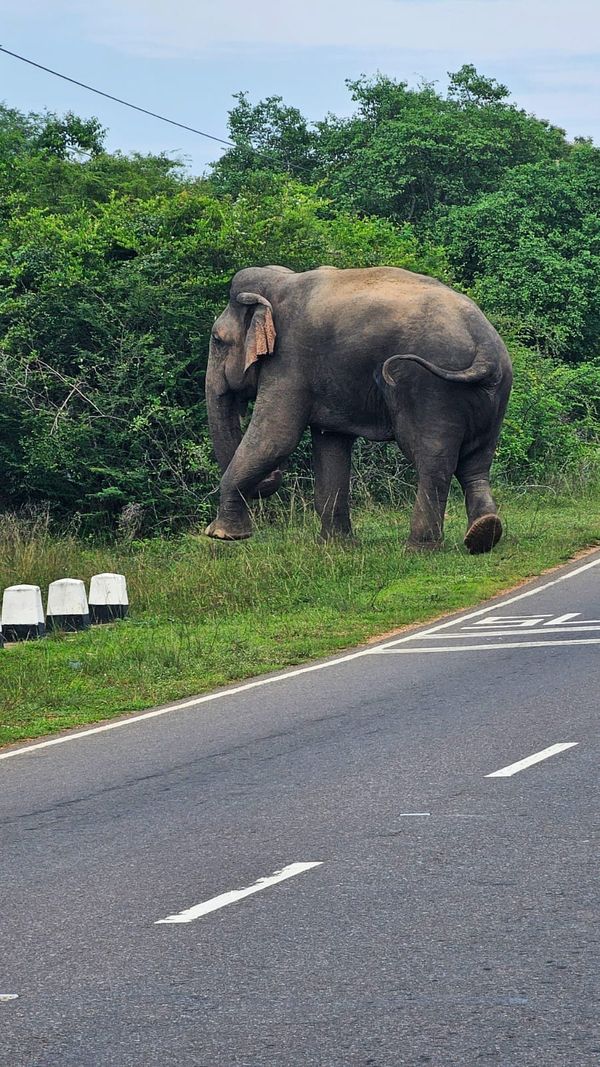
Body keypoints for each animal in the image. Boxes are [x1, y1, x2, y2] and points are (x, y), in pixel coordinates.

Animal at [205, 265, 512, 553]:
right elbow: (331, 443)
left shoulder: (289, 360)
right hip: (493, 393)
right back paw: (483, 534)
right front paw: (336, 546)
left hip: (432, 388)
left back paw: (418, 549)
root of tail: (484, 347)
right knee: (477, 461)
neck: (280, 281)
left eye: (217, 340)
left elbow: (276, 438)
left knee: (433, 459)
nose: (275, 477)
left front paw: (222, 534)